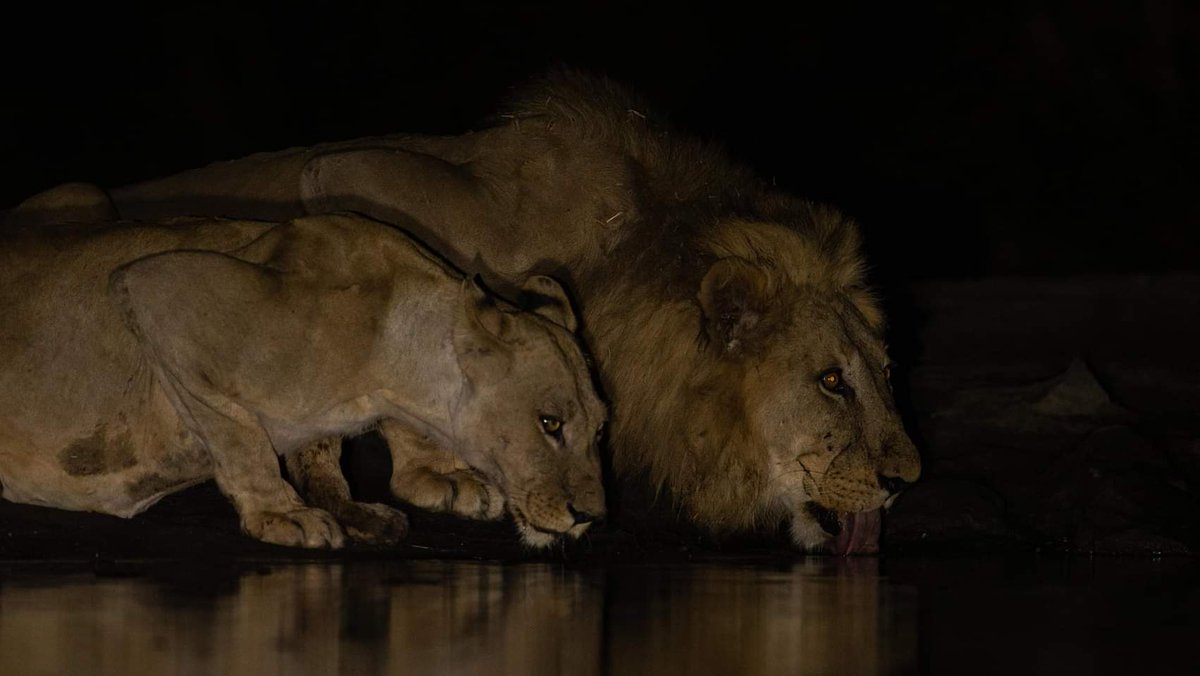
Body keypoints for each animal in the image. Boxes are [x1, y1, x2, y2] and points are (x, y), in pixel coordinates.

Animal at [0, 207, 604, 549]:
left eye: (598, 431)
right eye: (549, 423)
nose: (590, 517)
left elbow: (322, 453)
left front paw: (433, 477)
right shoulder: (161, 289)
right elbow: (238, 436)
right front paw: (280, 513)